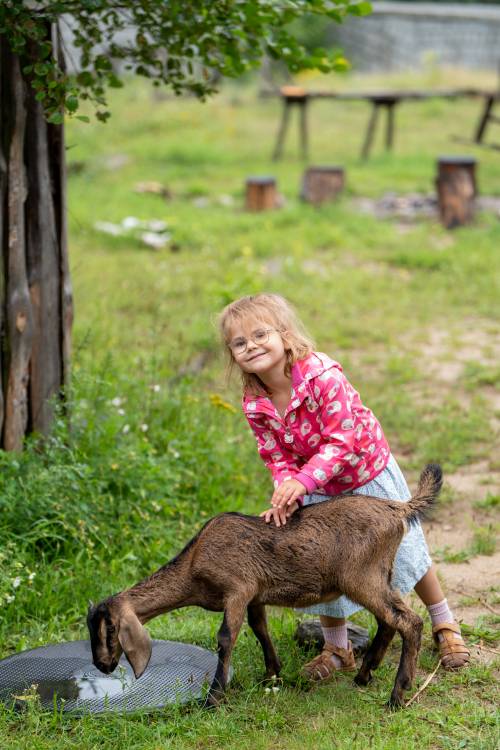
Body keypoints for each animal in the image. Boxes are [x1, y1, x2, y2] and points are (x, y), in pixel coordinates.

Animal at [88, 462, 444, 708]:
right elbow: (260, 628)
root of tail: (398, 509)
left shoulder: (237, 589)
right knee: (389, 621)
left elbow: (226, 638)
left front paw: (213, 698)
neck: (193, 565)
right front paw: (273, 673)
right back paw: (364, 674)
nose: (101, 665)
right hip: (380, 575)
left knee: (409, 622)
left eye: (109, 629)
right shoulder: (255, 595)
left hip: (361, 577)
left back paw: (397, 695)